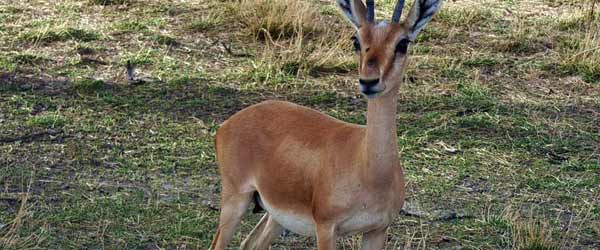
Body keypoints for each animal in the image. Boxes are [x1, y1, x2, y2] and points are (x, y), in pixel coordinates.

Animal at [210, 0, 440, 249]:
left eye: (403, 42)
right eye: (356, 40)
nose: (369, 81)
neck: (369, 170)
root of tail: (226, 125)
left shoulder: (377, 230)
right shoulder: (326, 228)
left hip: (275, 216)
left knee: (250, 243)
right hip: (235, 200)